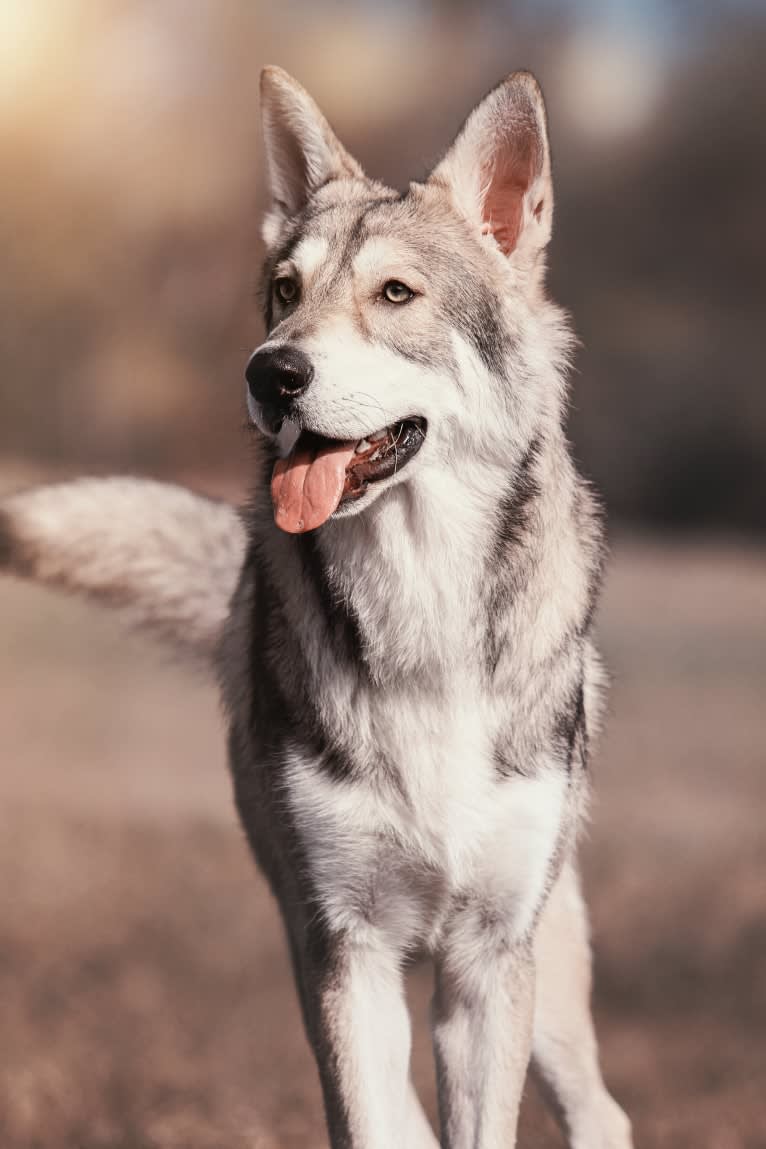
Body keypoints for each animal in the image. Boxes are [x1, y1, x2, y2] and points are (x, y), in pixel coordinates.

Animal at [1, 67, 633, 1144]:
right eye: (285, 295)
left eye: (394, 293)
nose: (271, 372)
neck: (422, 615)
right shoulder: (345, 947)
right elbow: (374, 1120)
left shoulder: (485, 962)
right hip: (313, 950)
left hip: (546, 977)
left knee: (603, 1112)